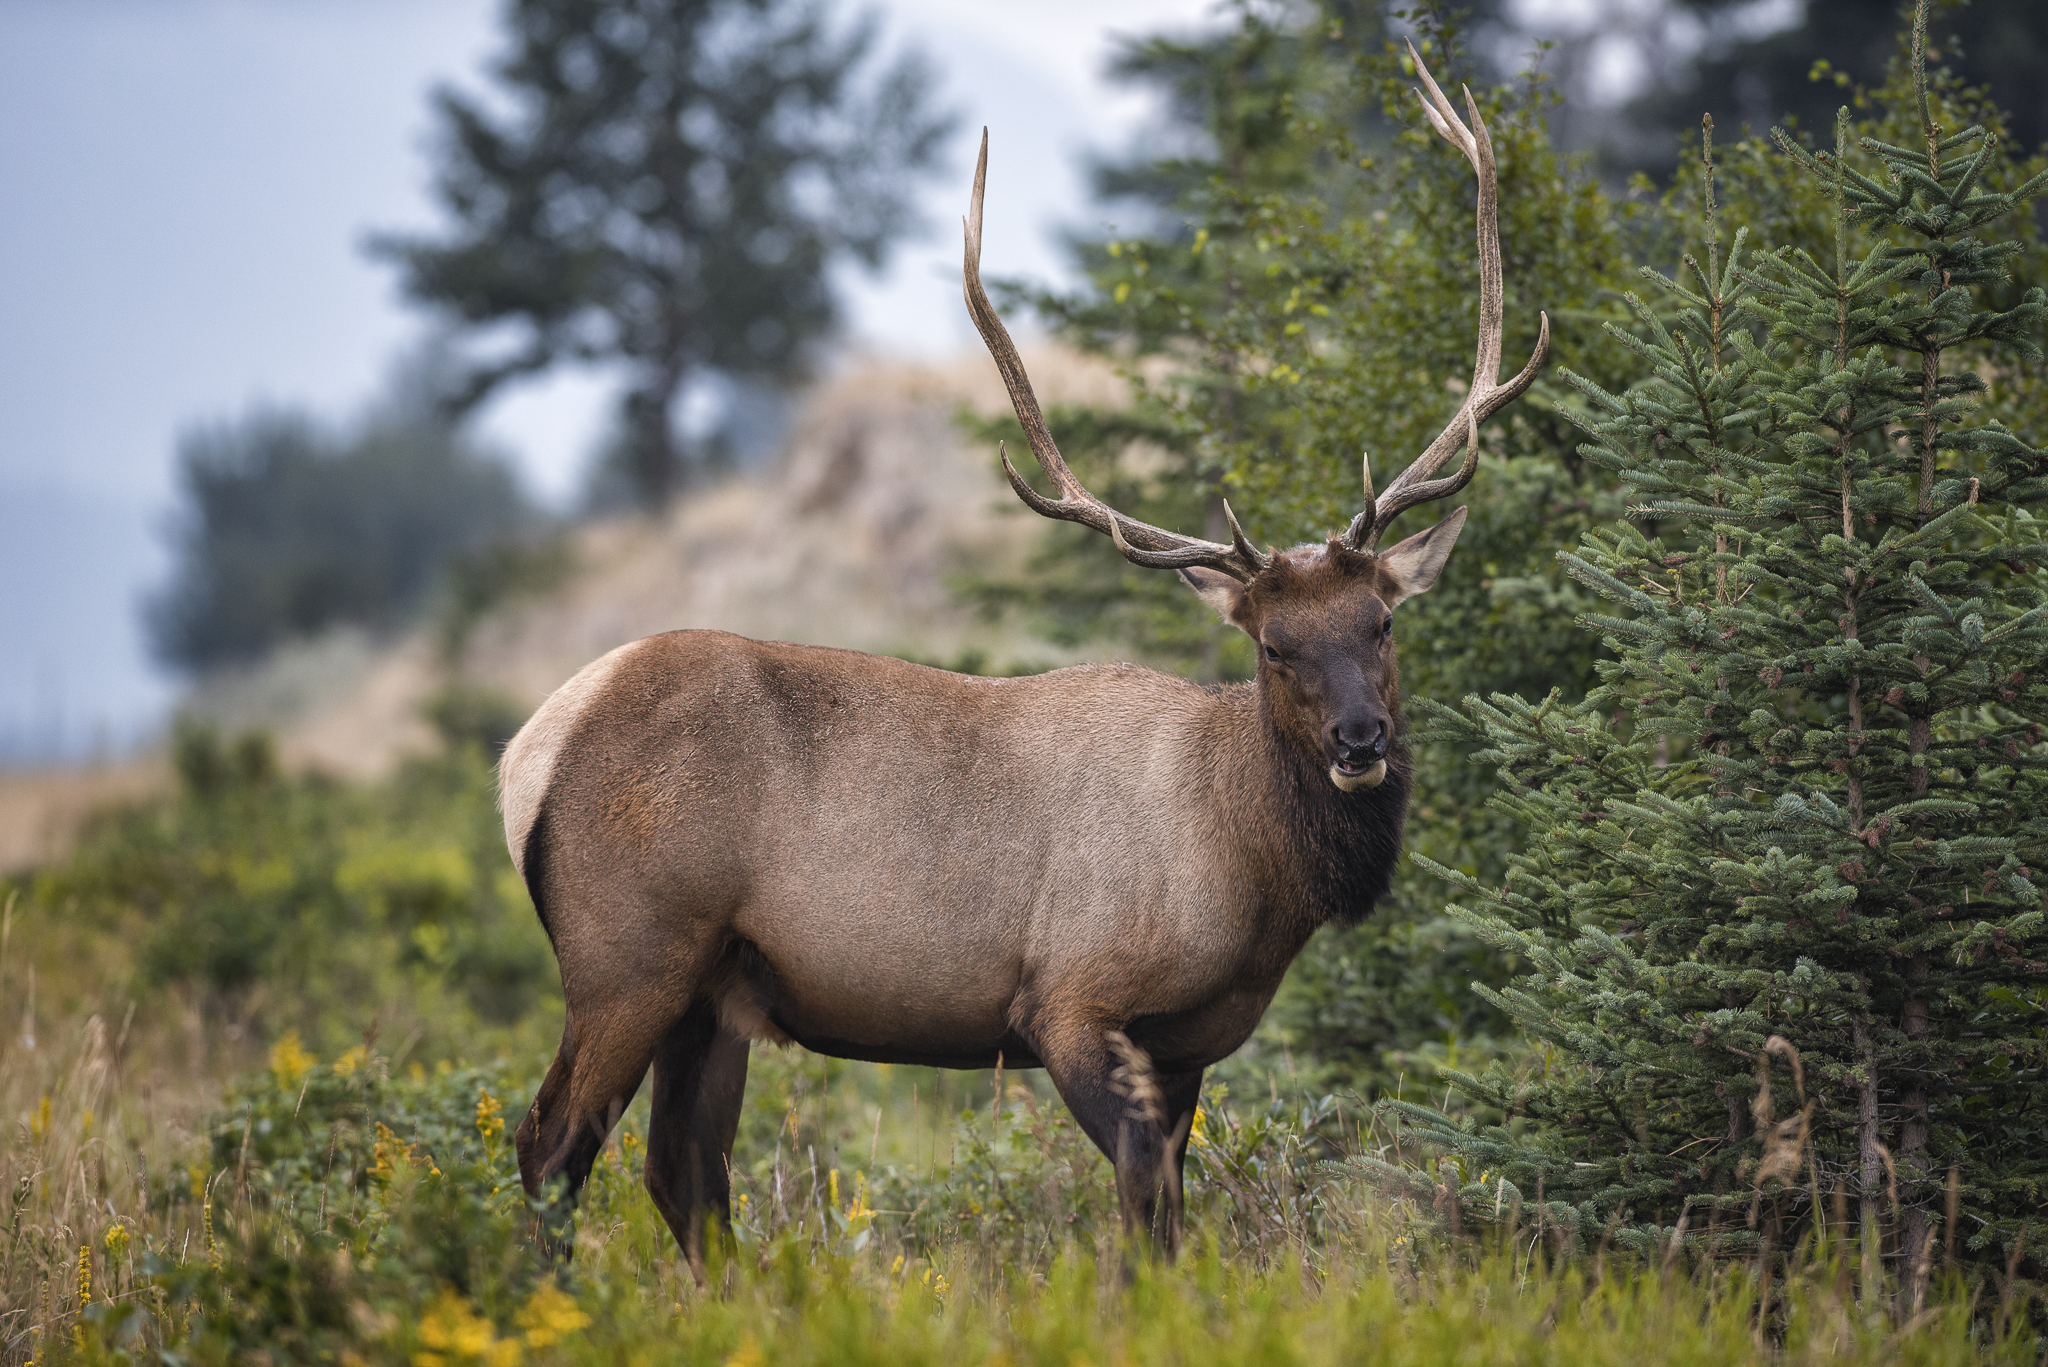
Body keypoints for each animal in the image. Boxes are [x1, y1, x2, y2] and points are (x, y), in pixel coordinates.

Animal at [498, 47, 1546, 1276]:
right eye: (1272, 644)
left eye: (1380, 621)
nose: (1360, 740)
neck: (1247, 873)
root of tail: (527, 752)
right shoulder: (1066, 999)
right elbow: (1142, 1199)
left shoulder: (1185, 1042)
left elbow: (1166, 1202)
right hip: (627, 954)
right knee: (551, 1144)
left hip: (713, 990)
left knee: (681, 1171)